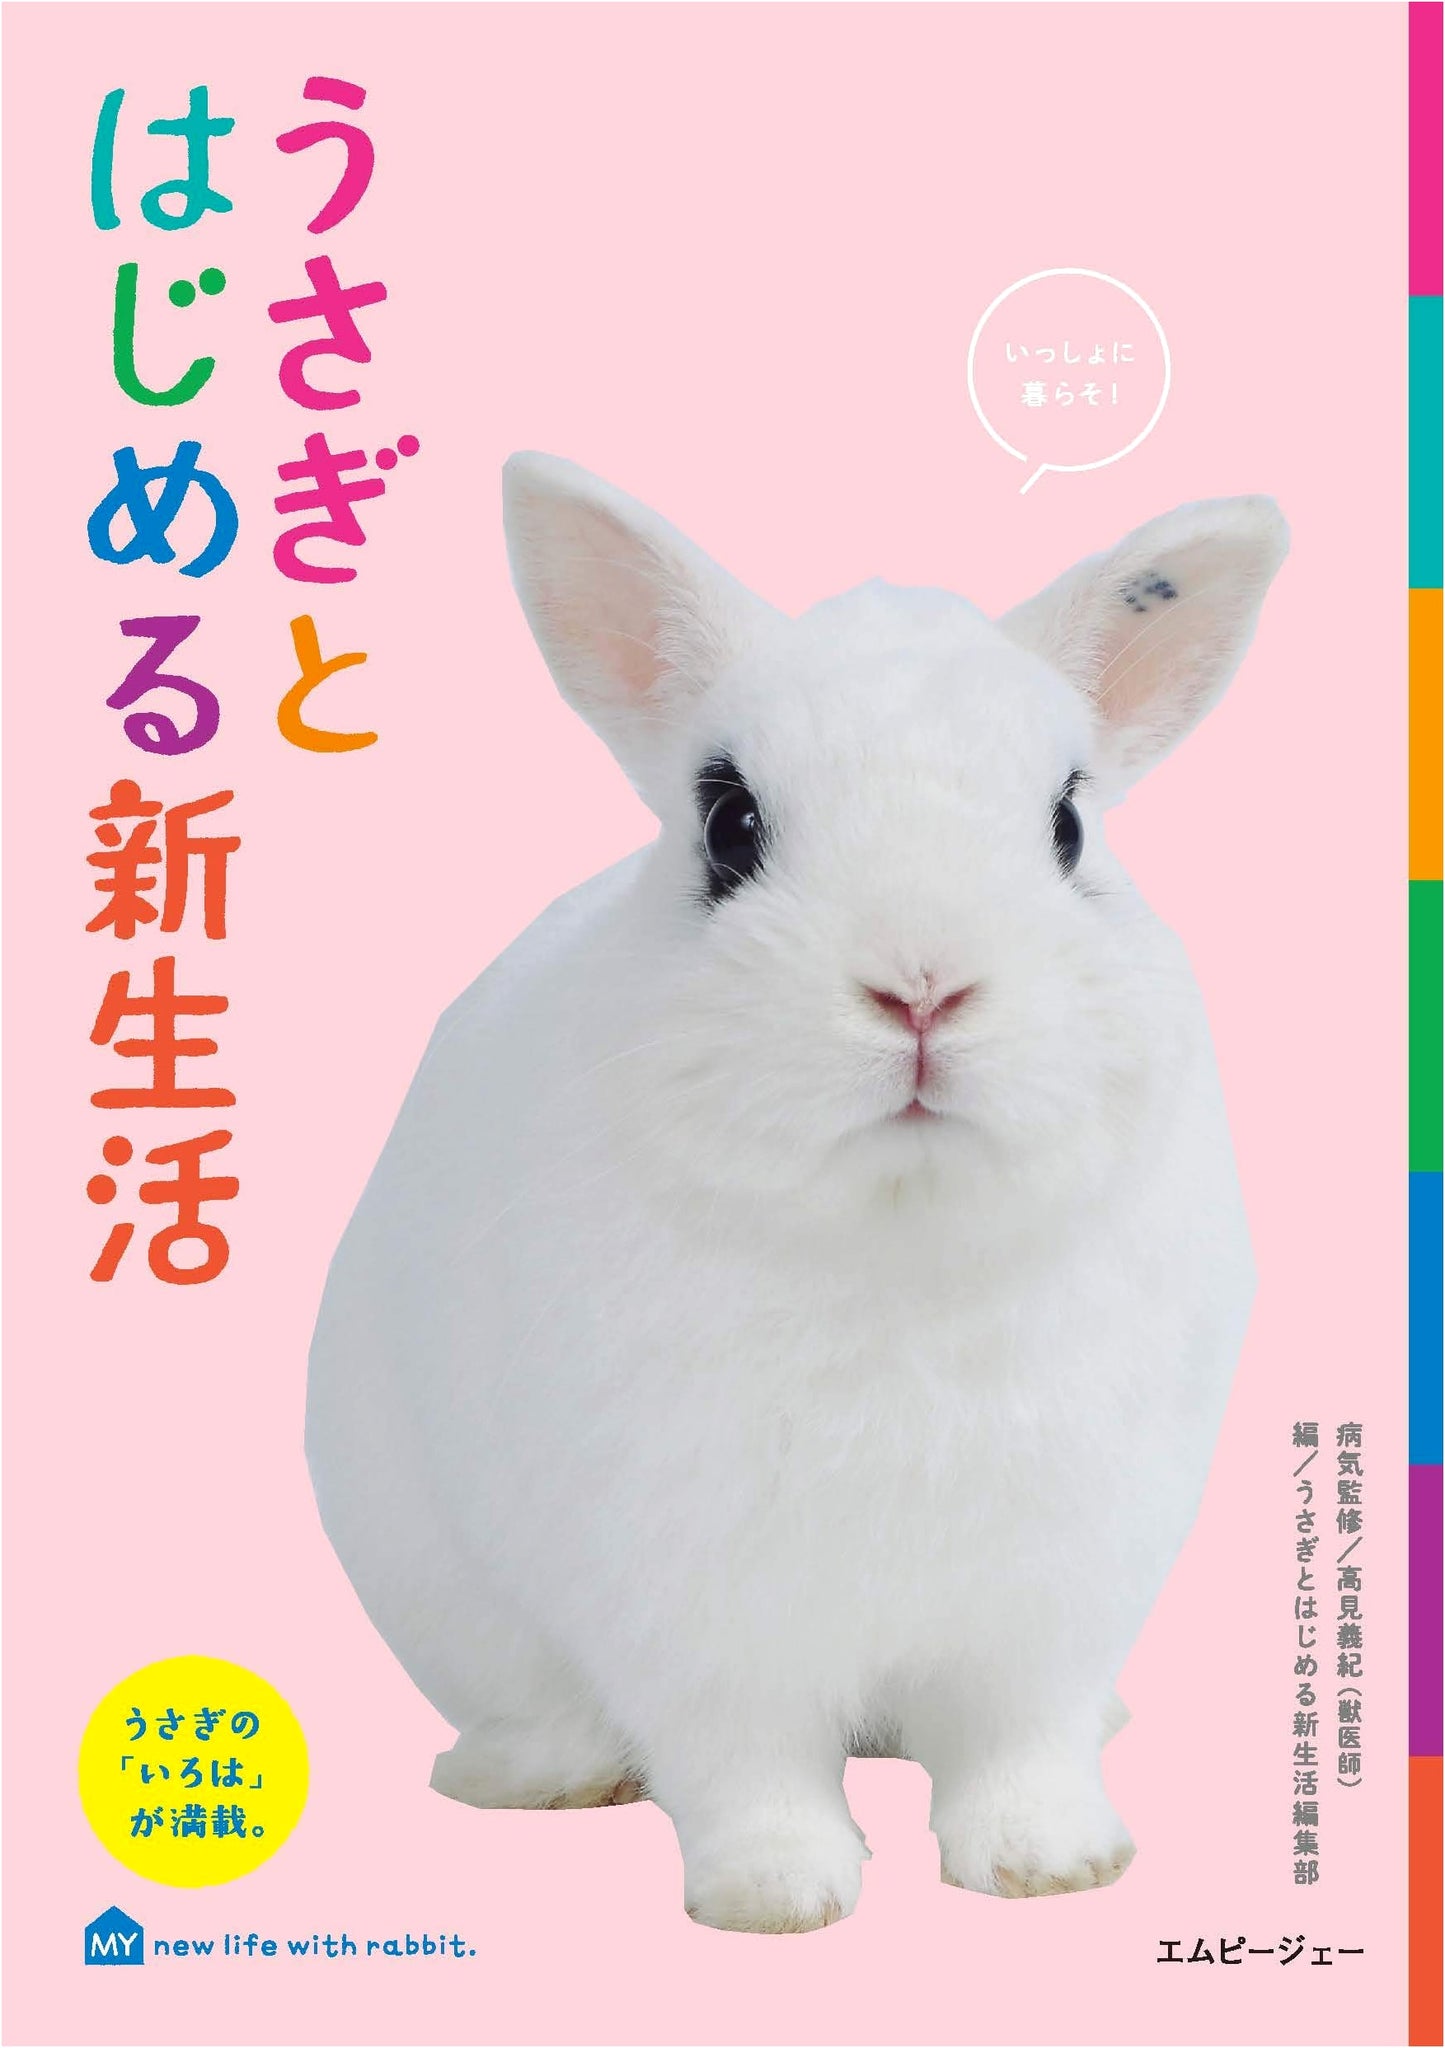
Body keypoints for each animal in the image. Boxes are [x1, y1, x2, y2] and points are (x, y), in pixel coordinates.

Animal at [306, 453, 1288, 1933]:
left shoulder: (1051, 1594)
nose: (921, 986)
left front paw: (1049, 1866)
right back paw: (542, 1777)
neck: (894, 1219)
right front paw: (777, 1897)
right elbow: (744, 1764)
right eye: (730, 824)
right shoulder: (693, 1605)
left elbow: (1021, 1743)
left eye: (1067, 824)